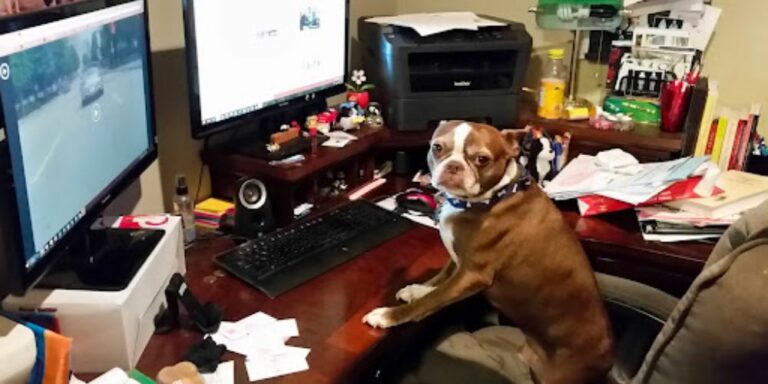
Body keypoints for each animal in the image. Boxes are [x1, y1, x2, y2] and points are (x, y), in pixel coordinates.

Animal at [364, 122, 616, 384]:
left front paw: (388, 316)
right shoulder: (458, 257)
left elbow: (431, 301)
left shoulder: (472, 275)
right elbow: (440, 280)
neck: (493, 196)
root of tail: (607, 362)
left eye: (482, 159)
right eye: (437, 147)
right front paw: (416, 290)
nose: (454, 166)